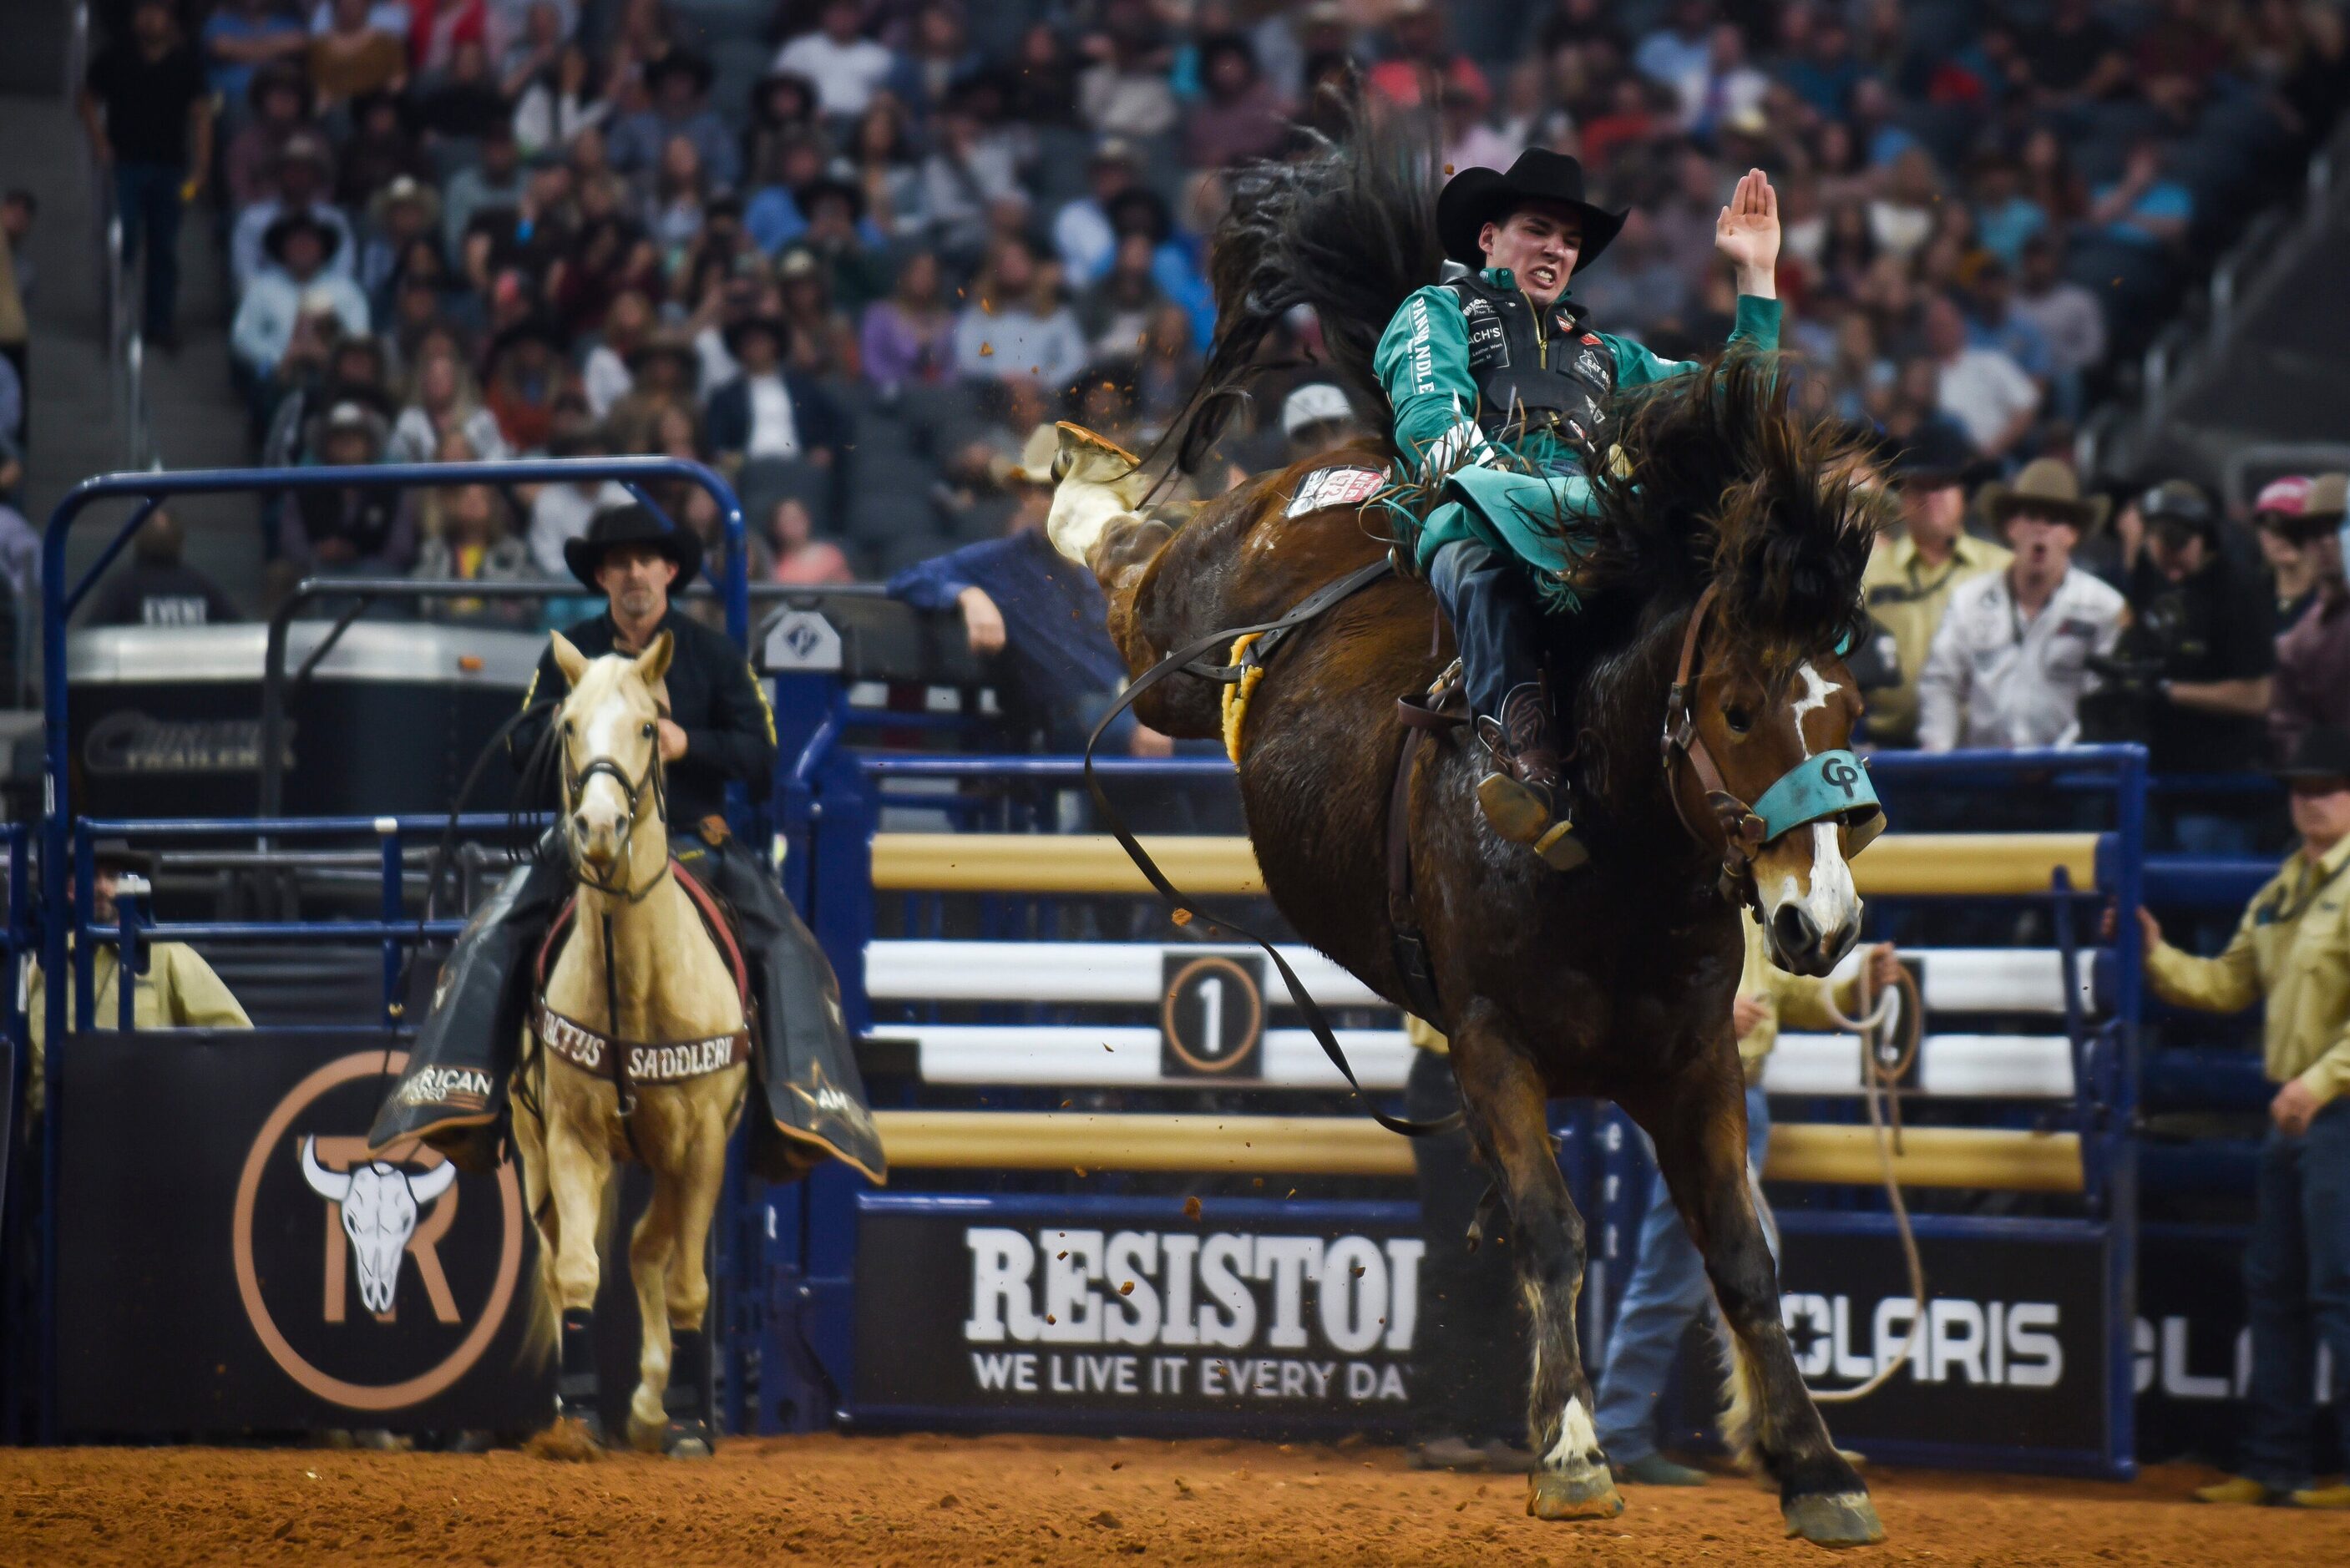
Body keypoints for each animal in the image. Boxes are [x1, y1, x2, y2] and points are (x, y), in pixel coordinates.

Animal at [517, 630, 752, 1466]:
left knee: (654, 1251)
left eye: (650, 726)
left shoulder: (706, 1145)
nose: (597, 827)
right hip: (536, 1152)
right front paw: (580, 1420)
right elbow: (580, 1272)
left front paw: (685, 1425)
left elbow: (686, 1283)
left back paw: (656, 1408)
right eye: (568, 725)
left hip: (677, 1162)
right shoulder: (572, 1138)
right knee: (569, 1259)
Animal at [1057, 355, 1898, 1542]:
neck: (1610, 855)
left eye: (1852, 709)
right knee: (1129, 566)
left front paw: (1817, 1467)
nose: (1818, 920)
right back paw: (1082, 479)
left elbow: (1741, 1252)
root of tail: (1365, 473)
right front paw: (1572, 1451)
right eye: (1737, 709)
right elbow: (1551, 1233)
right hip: (1181, 639)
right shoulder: (1493, 1048)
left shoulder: (1694, 1061)